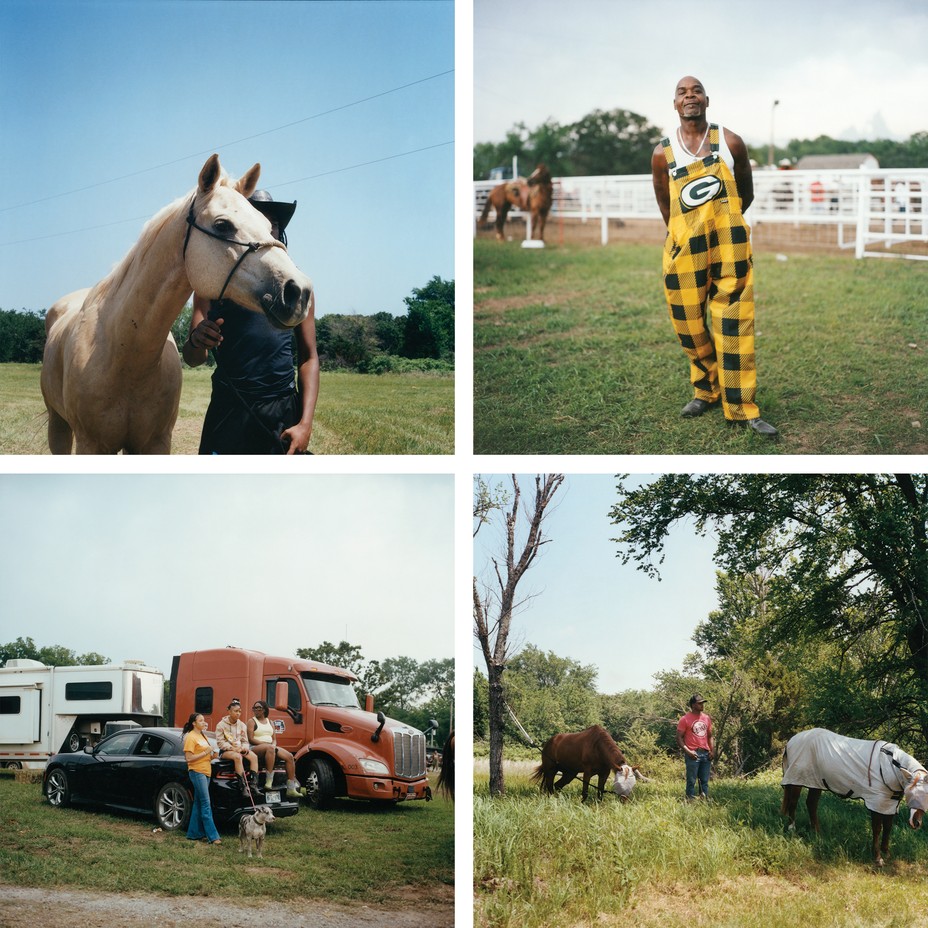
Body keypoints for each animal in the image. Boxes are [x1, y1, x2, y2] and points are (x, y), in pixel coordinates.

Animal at [40, 155, 312, 454]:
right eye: (222, 225)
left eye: (267, 224)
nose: (299, 292)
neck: (124, 355)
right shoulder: (91, 444)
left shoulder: (156, 443)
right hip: (59, 426)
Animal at [784, 728, 928, 868]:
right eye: (912, 792)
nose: (916, 823)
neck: (889, 766)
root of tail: (792, 740)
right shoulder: (876, 802)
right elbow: (877, 829)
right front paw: (878, 858)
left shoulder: (889, 804)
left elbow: (888, 827)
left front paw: (886, 853)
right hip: (797, 779)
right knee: (793, 803)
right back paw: (792, 829)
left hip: (815, 782)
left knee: (811, 804)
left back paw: (817, 834)